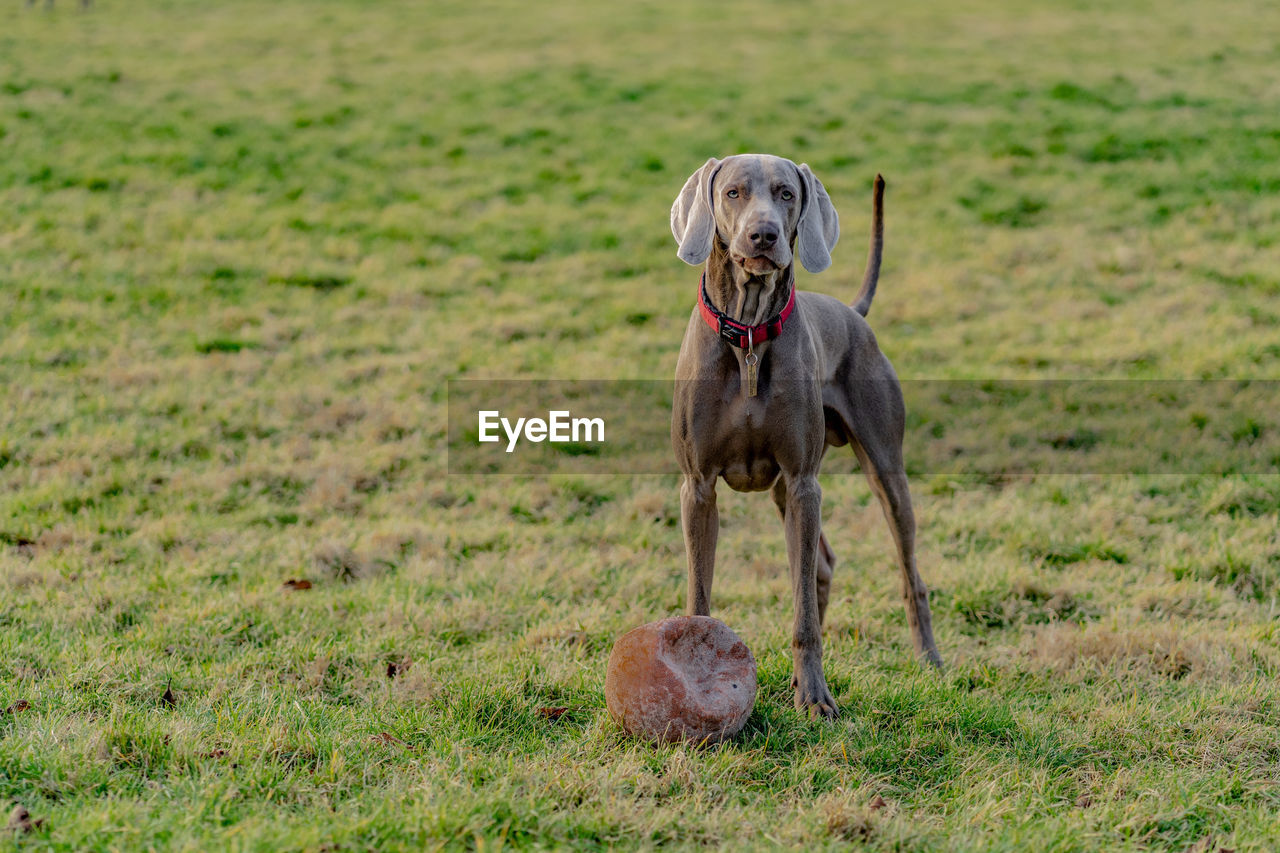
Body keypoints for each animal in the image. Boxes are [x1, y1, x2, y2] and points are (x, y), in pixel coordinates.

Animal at [670, 154, 942, 717]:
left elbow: (803, 615)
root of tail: (853, 312)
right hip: (781, 491)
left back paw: (928, 659)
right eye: (732, 192)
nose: (764, 234)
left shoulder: (802, 481)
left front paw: (816, 697)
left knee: (907, 573)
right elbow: (700, 594)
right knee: (822, 567)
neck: (749, 337)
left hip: (883, 469)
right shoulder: (698, 488)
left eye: (786, 193)